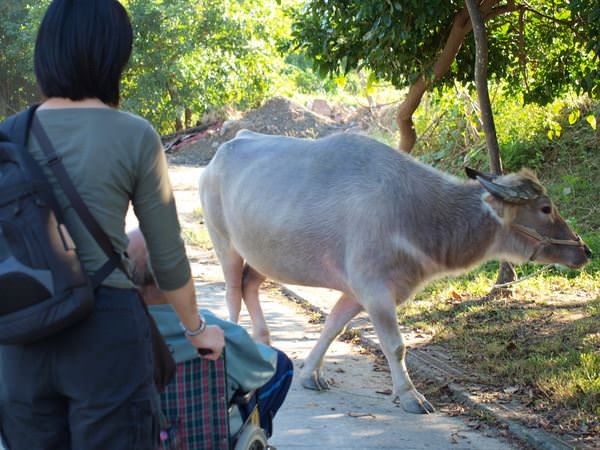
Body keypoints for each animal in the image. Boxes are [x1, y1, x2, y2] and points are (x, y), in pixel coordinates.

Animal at [198, 130, 592, 414]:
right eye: (545, 208)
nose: (585, 251)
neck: (415, 212)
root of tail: (217, 157)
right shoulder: (374, 291)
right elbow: (396, 345)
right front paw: (410, 396)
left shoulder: (357, 291)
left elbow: (333, 326)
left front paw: (311, 373)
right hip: (225, 244)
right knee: (232, 292)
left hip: (262, 256)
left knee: (250, 286)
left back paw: (263, 342)